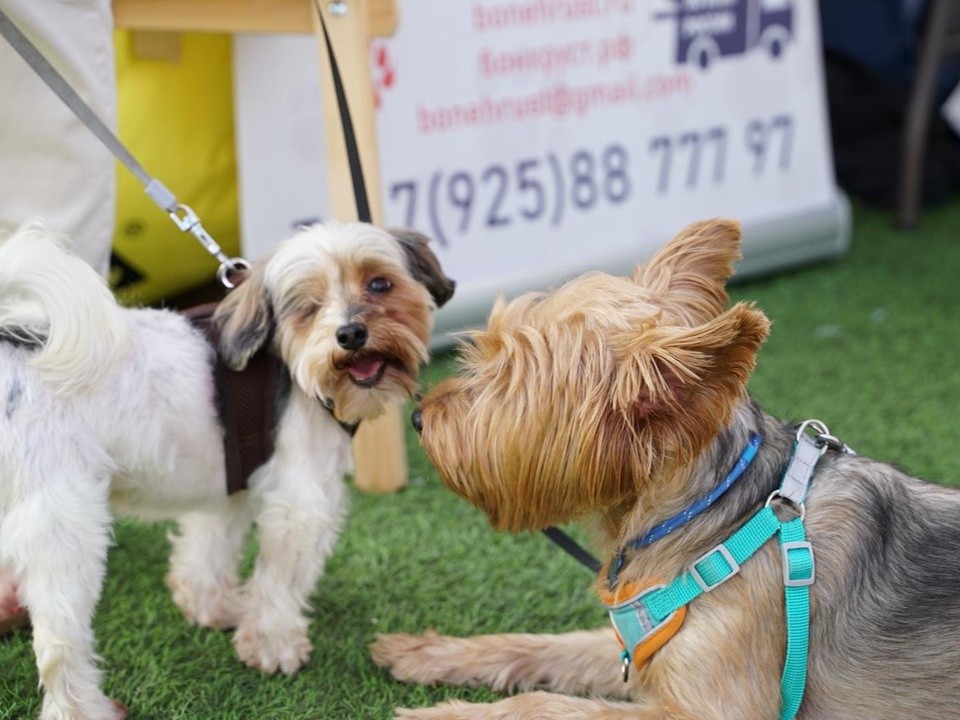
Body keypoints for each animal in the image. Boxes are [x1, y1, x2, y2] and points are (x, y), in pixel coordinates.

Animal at [0, 221, 454, 720]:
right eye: (307, 305)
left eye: (379, 284)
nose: (351, 334)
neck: (295, 369)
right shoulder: (301, 501)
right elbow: (280, 579)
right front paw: (273, 647)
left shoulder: (228, 482)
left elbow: (209, 548)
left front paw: (209, 608)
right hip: (63, 527)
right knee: (58, 644)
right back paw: (85, 708)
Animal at [372, 221, 960, 720]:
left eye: (508, 381)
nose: (419, 416)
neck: (716, 513)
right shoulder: (636, 646)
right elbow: (548, 645)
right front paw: (429, 650)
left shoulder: (712, 709)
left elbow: (542, 704)